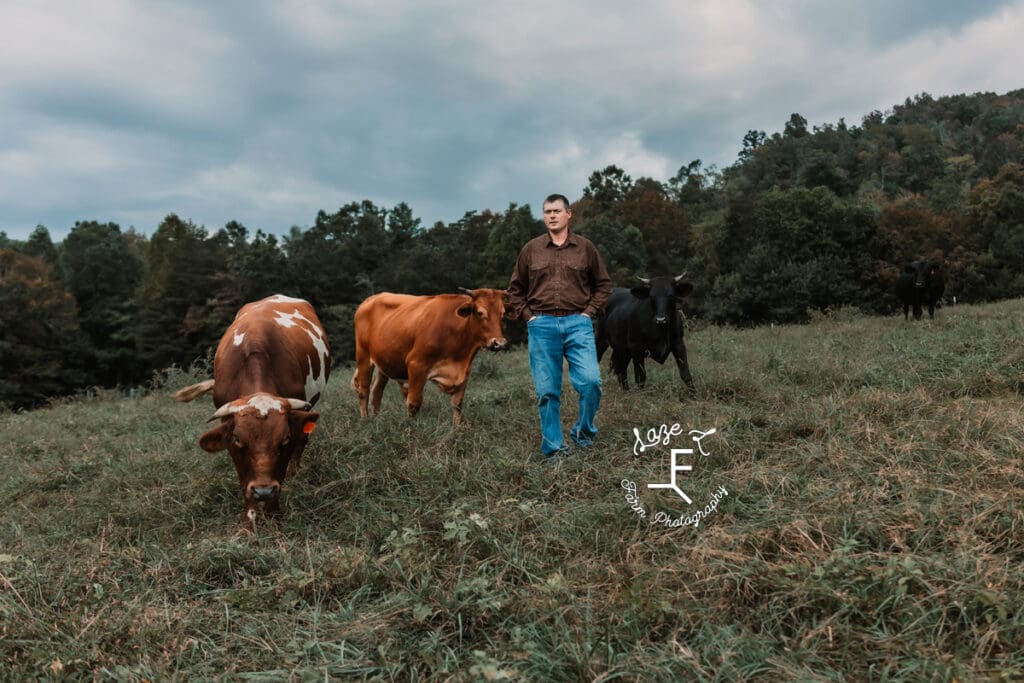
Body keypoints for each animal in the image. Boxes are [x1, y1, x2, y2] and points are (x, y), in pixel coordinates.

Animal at [174, 294, 329, 524]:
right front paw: (250, 517)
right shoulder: (229, 430)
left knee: (303, 440)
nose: (263, 491)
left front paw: (273, 515)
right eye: (239, 439)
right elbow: (242, 476)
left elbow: (281, 469)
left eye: (284, 439)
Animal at [354, 286, 509, 423]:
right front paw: (410, 428)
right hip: (363, 356)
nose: (499, 343)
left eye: (502, 314)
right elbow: (413, 403)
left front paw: (457, 430)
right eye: (480, 312)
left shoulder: (464, 370)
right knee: (364, 391)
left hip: (385, 363)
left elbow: (458, 404)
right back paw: (365, 420)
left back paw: (376, 420)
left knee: (376, 393)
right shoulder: (416, 365)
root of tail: (370, 299)